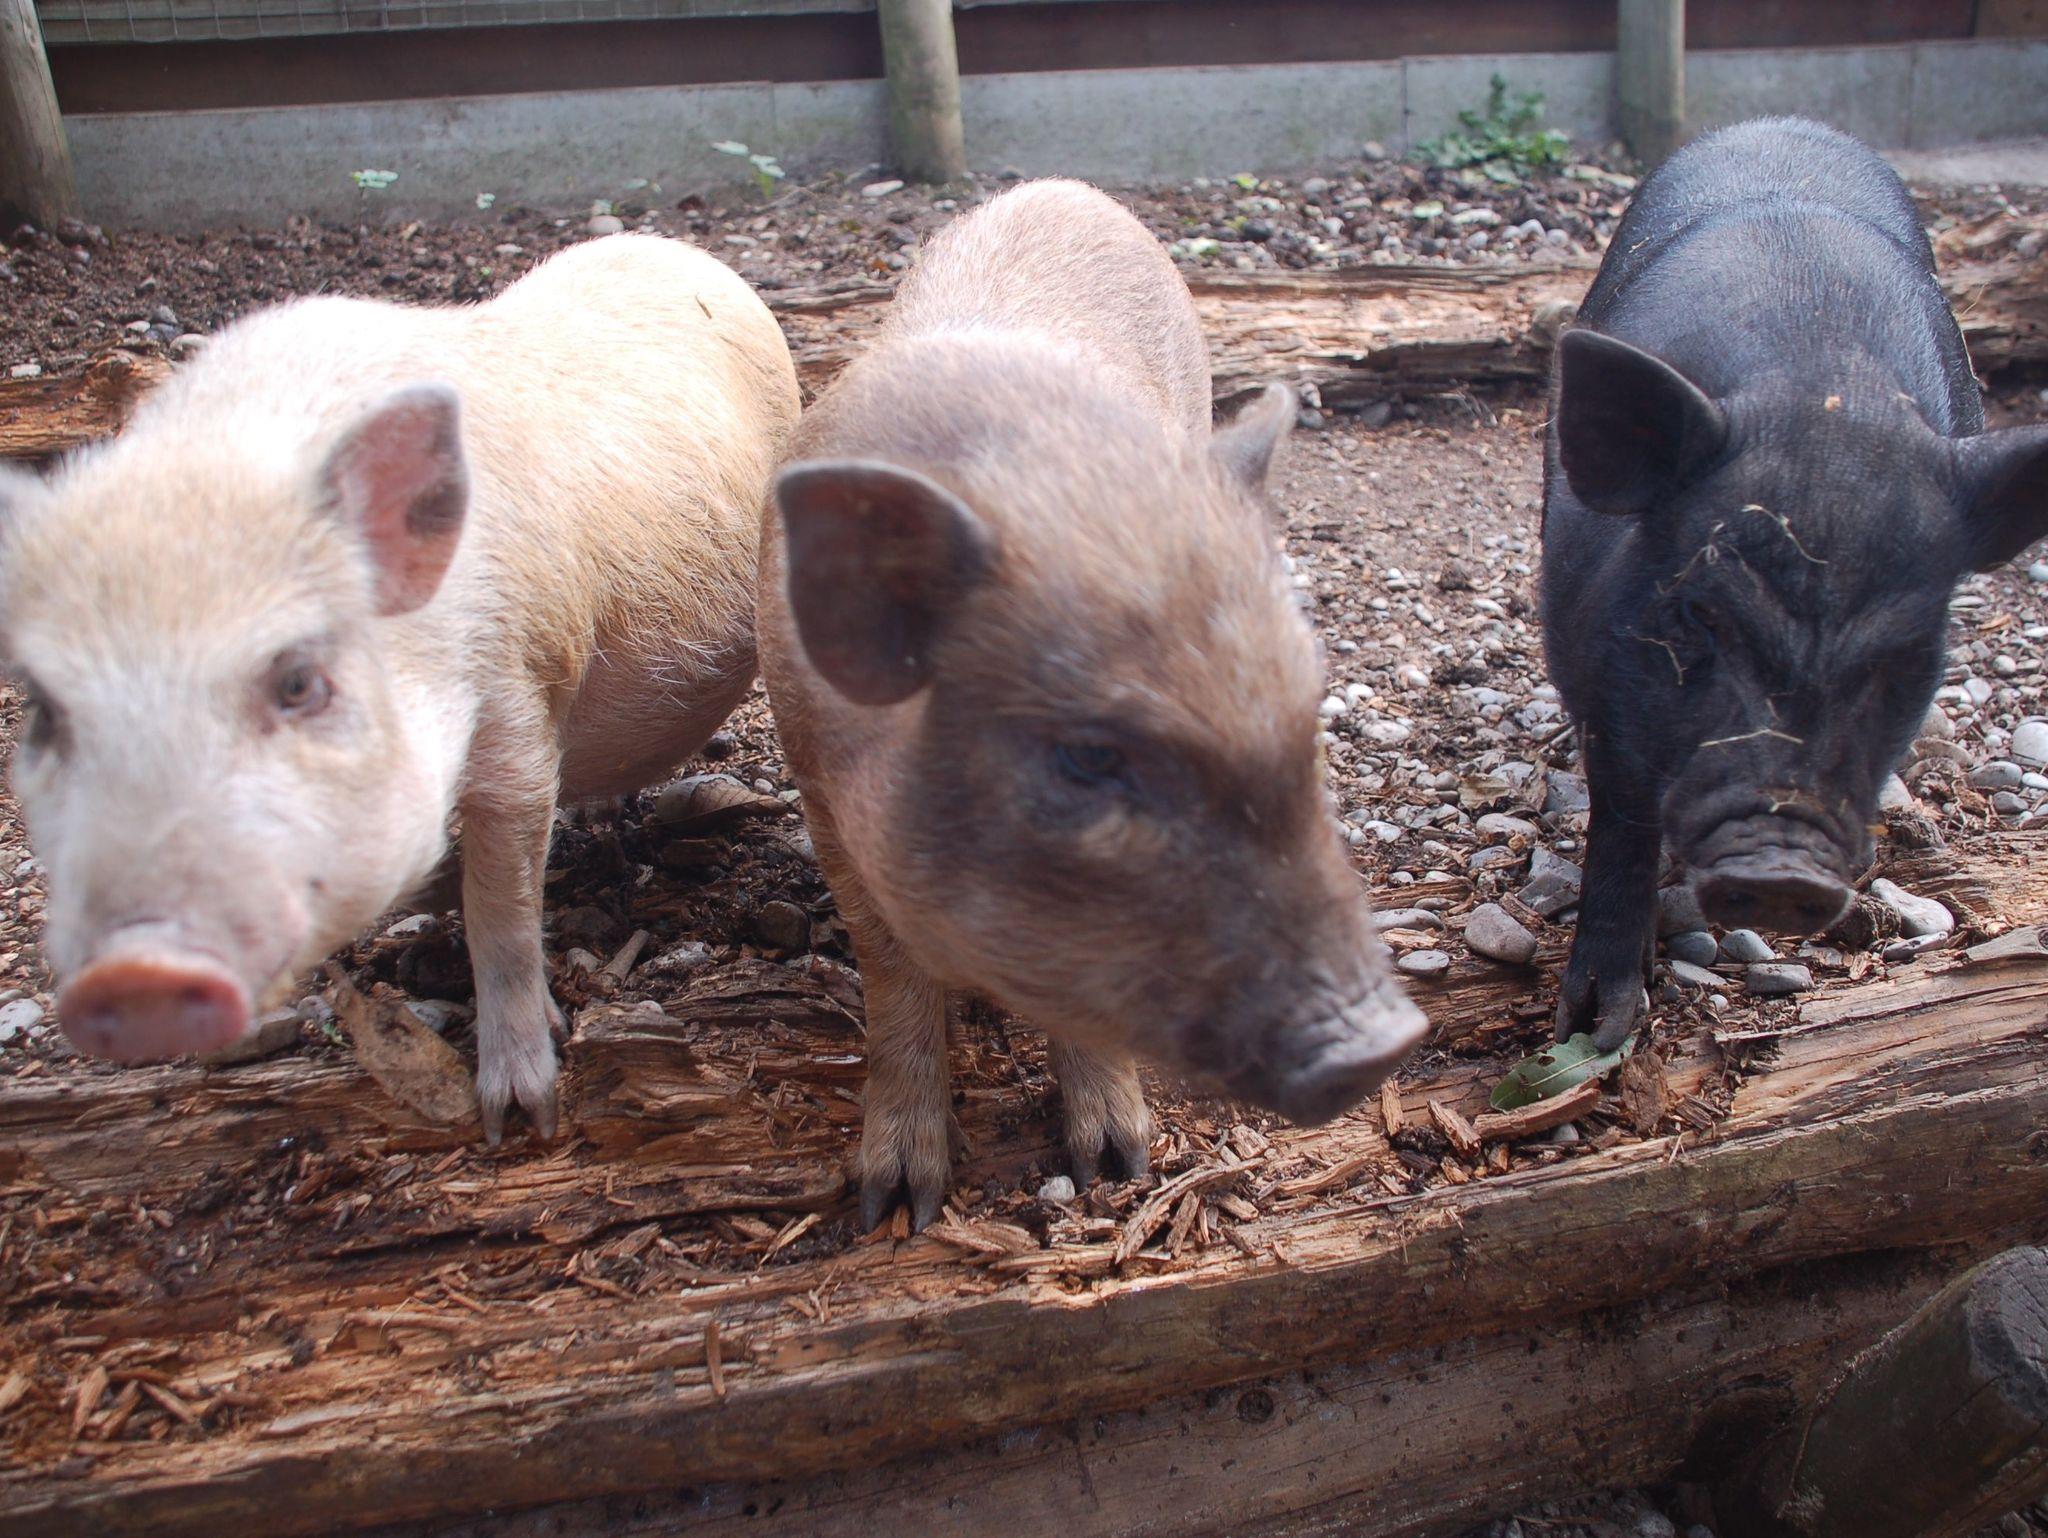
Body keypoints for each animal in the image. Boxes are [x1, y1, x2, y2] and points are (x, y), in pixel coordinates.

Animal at [0, 233, 801, 1137]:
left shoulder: (515, 695)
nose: (132, 973)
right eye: (45, 711)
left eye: (300, 683)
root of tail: (683, 250)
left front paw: (520, 1117)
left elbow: (503, 911)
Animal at [757, 179, 1429, 1230]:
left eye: (1307, 716)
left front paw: (1120, 1166)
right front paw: (896, 1209)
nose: (1387, 1040)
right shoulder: (815, 785)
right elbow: (892, 977)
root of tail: (1070, 189)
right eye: (1086, 757)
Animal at [1543, 117, 2048, 1049]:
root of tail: (1782, 124)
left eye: (1903, 659)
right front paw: (1593, 1031)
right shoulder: (1597, 675)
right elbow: (1621, 817)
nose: (1782, 870)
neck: (1821, 391)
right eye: (1700, 616)